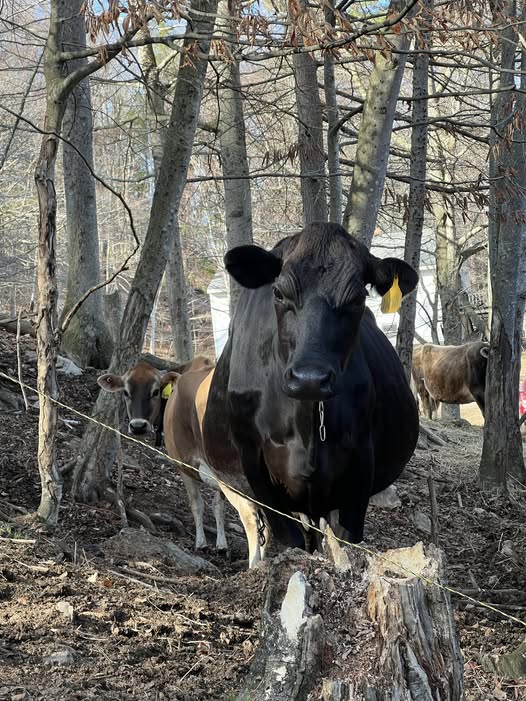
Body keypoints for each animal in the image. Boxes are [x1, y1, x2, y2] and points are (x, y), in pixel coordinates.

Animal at [202, 222, 419, 555]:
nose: (310, 379)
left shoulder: (361, 462)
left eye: (357, 299)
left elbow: (347, 539)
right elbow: (289, 540)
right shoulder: (253, 463)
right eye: (278, 293)